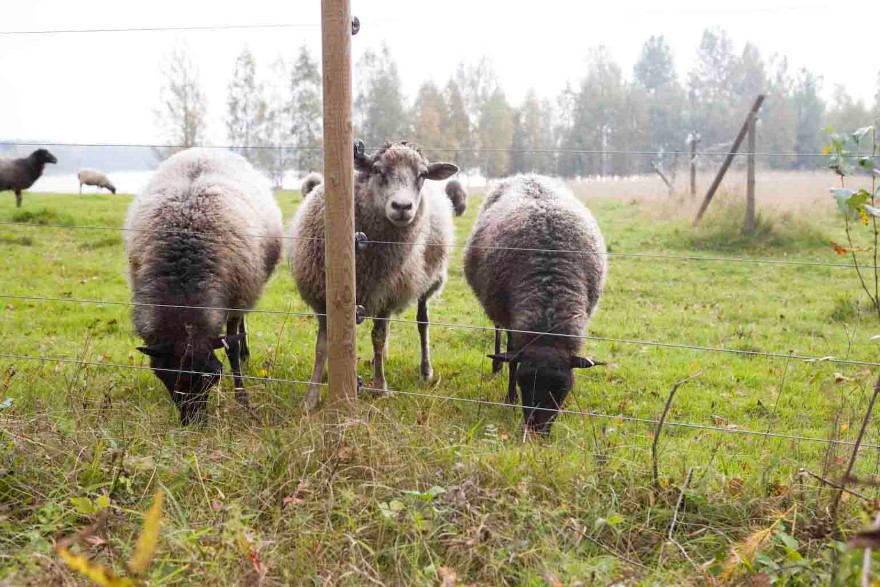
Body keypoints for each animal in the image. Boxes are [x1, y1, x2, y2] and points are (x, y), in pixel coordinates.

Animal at [124, 146, 280, 422]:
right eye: (165, 376)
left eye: (211, 377)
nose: (192, 422)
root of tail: (206, 150)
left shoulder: (236, 298)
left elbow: (231, 348)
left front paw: (243, 398)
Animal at [292, 141, 464, 412]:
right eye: (378, 170)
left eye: (422, 175)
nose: (402, 207)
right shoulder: (323, 298)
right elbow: (322, 347)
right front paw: (311, 397)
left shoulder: (387, 296)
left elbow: (378, 339)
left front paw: (380, 387)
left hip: (427, 282)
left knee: (422, 322)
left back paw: (424, 370)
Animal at [464, 172, 608, 434]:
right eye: (523, 382)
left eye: (563, 387)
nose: (536, 431)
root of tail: (527, 175)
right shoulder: (512, 322)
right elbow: (512, 357)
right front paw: (510, 398)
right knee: (498, 331)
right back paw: (496, 365)